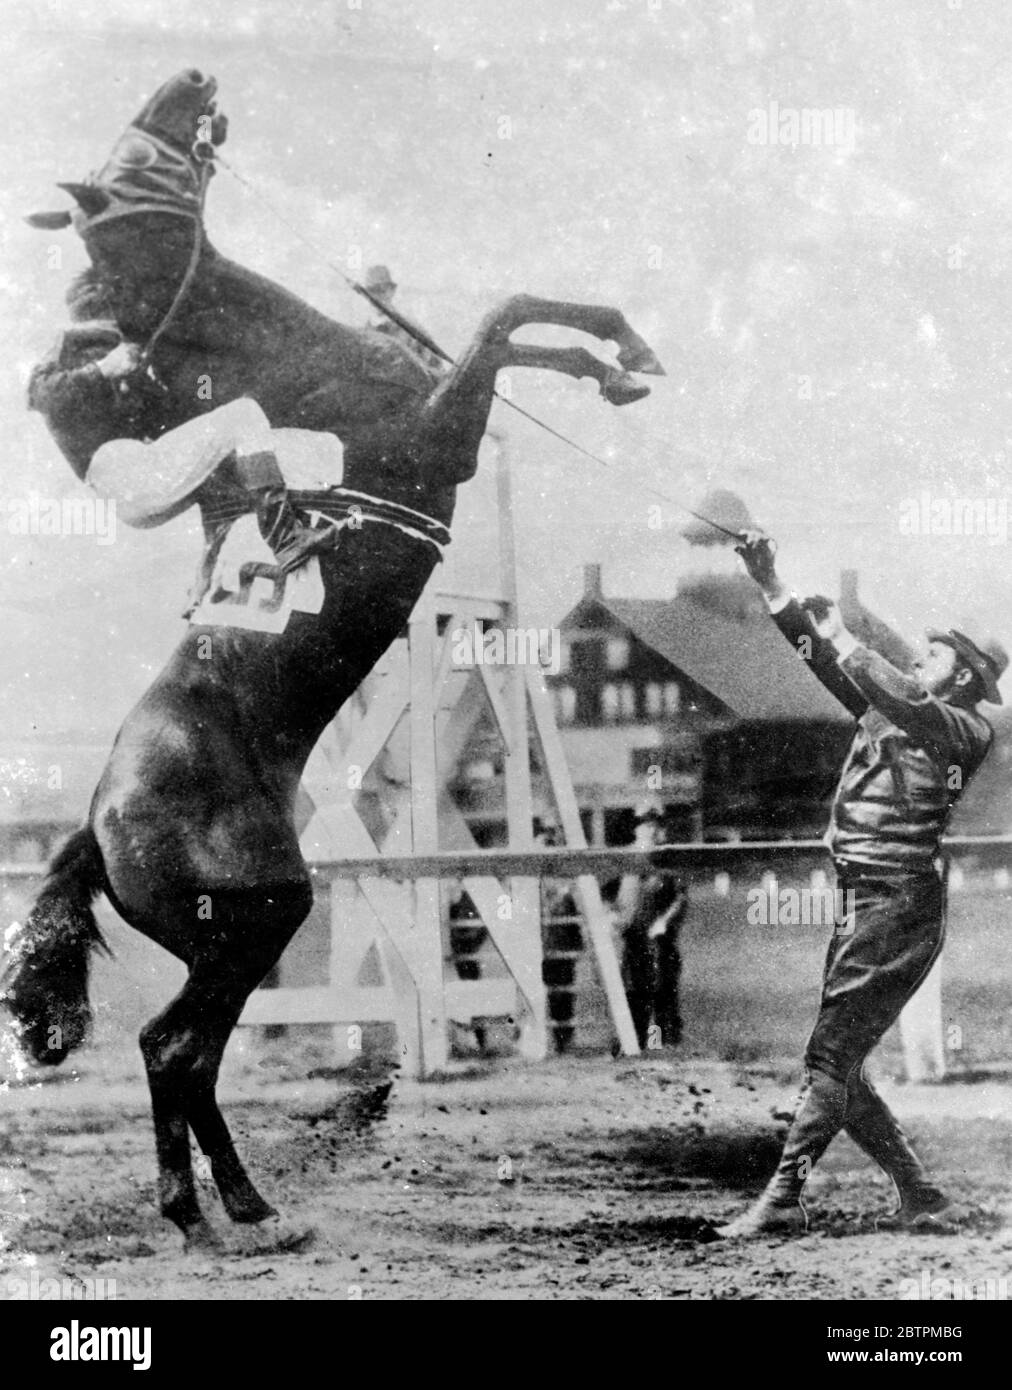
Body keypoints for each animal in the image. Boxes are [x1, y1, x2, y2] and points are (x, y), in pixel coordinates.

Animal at [3, 70, 664, 1256]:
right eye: (125, 171)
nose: (192, 82)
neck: (313, 371)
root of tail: (94, 822)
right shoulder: (443, 427)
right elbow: (504, 315)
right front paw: (617, 350)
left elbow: (515, 336)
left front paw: (613, 359)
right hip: (257, 919)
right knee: (174, 1046)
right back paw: (215, 1210)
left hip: (244, 933)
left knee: (190, 1057)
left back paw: (235, 1205)